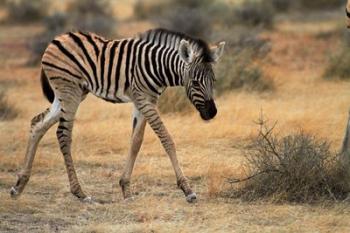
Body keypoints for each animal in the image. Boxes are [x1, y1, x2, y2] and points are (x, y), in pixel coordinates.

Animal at [10, 28, 226, 203]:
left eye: (214, 80)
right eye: (195, 82)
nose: (212, 113)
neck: (158, 67)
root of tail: (57, 38)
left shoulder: (144, 101)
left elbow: (136, 141)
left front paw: (125, 189)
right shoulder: (144, 100)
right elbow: (166, 139)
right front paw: (187, 189)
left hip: (70, 94)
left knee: (37, 124)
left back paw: (19, 185)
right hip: (69, 91)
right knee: (63, 134)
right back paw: (80, 193)